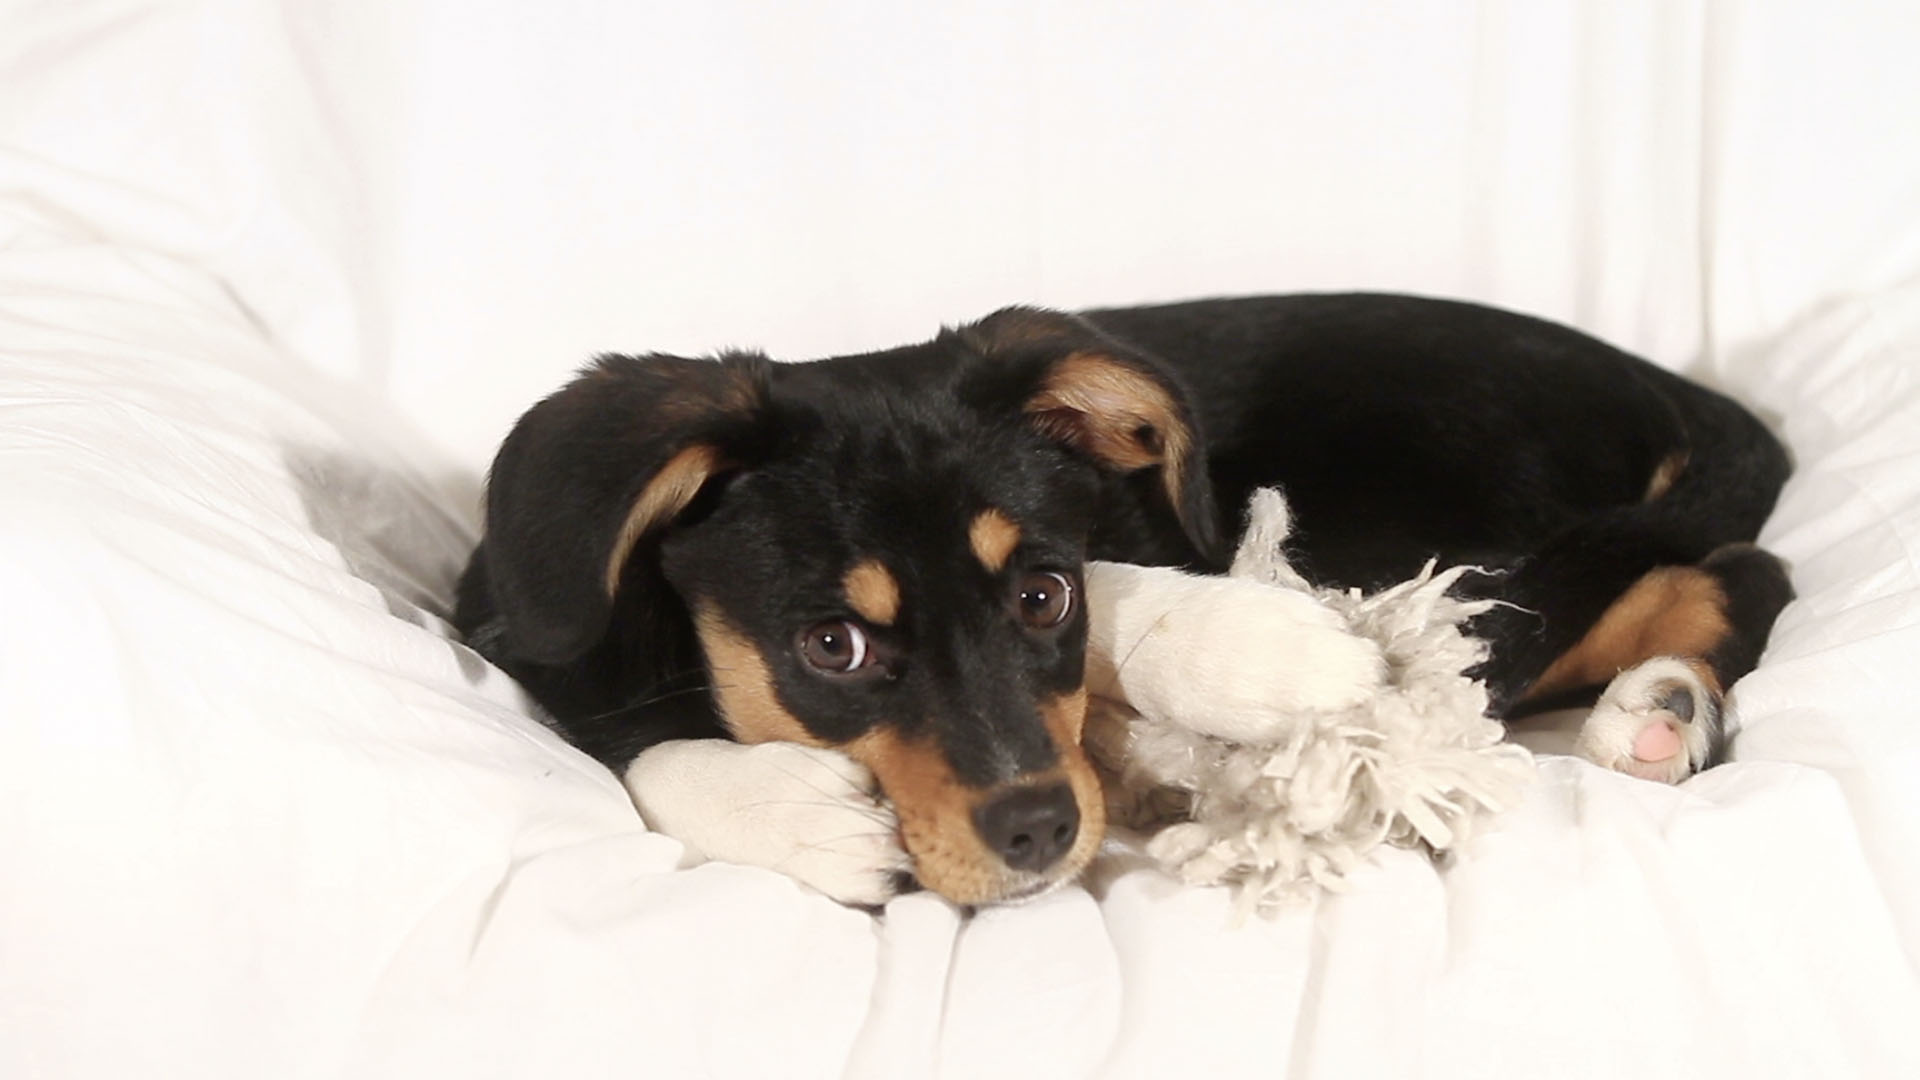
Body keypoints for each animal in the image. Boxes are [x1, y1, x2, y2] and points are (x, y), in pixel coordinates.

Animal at [456, 290, 1789, 903]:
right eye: (831, 645)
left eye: (1043, 598)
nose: (1040, 835)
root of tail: (1672, 391)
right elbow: (629, 748)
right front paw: (792, 812)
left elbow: (1129, 608)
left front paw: (1257, 653)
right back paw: (1661, 709)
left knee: (1715, 571)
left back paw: (1656, 707)